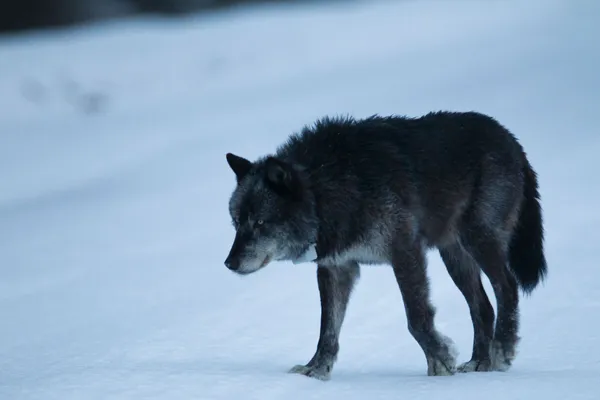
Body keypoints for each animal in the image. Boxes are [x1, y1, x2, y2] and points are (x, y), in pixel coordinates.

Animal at [224, 110, 548, 382]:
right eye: (237, 222)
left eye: (260, 223)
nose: (229, 263)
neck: (327, 189)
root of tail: (511, 139)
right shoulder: (336, 268)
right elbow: (327, 329)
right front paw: (316, 370)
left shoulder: (405, 251)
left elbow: (416, 317)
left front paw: (440, 361)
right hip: (454, 257)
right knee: (482, 306)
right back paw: (479, 363)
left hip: (478, 240)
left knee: (507, 287)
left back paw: (501, 350)